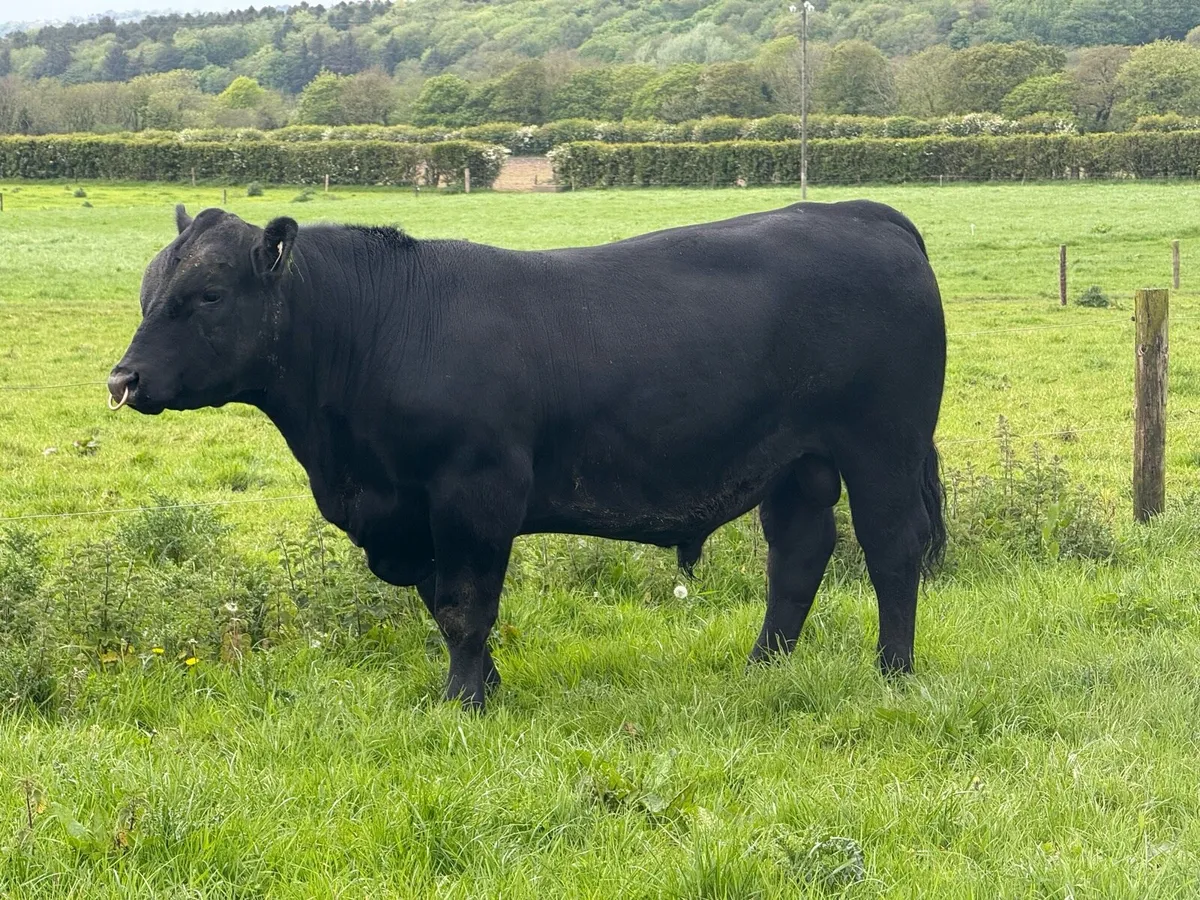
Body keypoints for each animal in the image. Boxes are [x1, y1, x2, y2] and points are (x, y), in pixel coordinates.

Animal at [108, 201, 946, 710]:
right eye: (148, 291)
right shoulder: (414, 515)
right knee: (799, 556)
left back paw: (893, 670)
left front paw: (462, 703)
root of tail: (858, 213)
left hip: (882, 445)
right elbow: (442, 604)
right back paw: (763, 666)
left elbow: (465, 605)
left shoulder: (475, 491)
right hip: (797, 463)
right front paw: (486, 688)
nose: (123, 379)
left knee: (892, 550)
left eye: (208, 295)